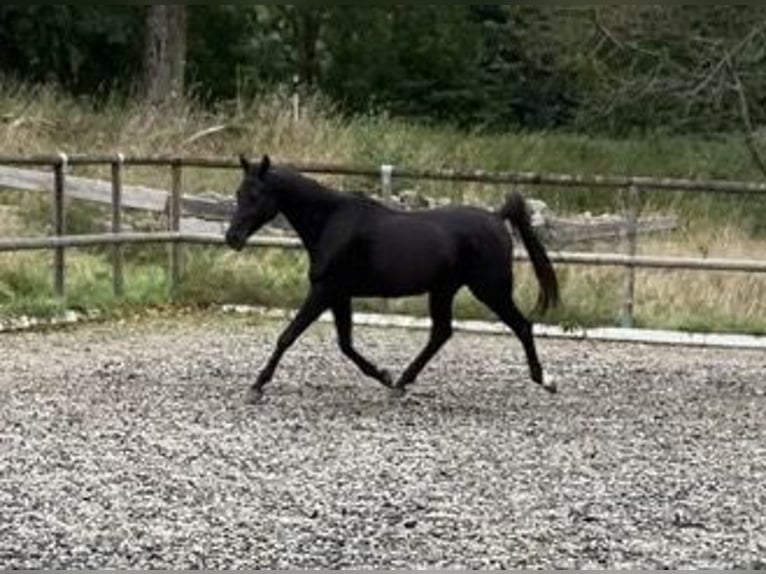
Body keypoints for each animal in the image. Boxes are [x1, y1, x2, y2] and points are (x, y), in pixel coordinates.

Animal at [225, 155, 559, 403]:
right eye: (239, 193)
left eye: (256, 195)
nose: (232, 238)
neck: (331, 222)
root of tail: (496, 217)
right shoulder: (339, 294)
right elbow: (345, 344)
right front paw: (384, 376)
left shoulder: (324, 290)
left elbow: (288, 336)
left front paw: (257, 386)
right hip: (444, 290)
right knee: (441, 333)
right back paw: (401, 383)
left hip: (490, 289)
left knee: (522, 326)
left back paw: (546, 380)